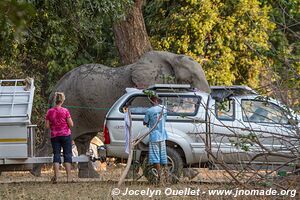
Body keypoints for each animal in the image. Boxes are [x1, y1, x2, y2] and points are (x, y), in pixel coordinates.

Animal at [34, 50, 210, 177]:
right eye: (190, 80)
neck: (172, 57)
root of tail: (56, 88)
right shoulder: (144, 95)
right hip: (70, 105)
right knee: (57, 139)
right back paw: (35, 173)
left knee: (84, 140)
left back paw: (91, 176)